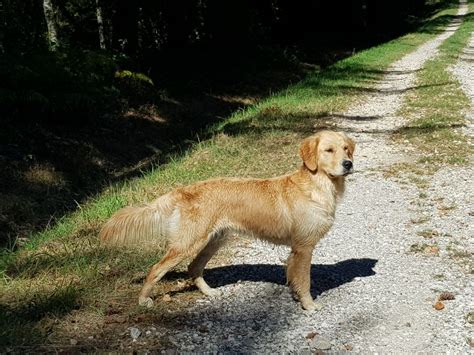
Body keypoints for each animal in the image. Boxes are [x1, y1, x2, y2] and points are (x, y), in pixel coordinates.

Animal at [100, 131, 356, 312]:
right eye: (329, 150)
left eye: (346, 149)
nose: (348, 164)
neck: (317, 185)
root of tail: (184, 190)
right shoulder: (303, 247)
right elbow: (304, 281)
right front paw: (309, 305)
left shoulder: (297, 250)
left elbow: (294, 278)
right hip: (187, 243)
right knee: (156, 269)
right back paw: (143, 300)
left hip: (214, 240)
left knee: (193, 267)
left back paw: (209, 292)